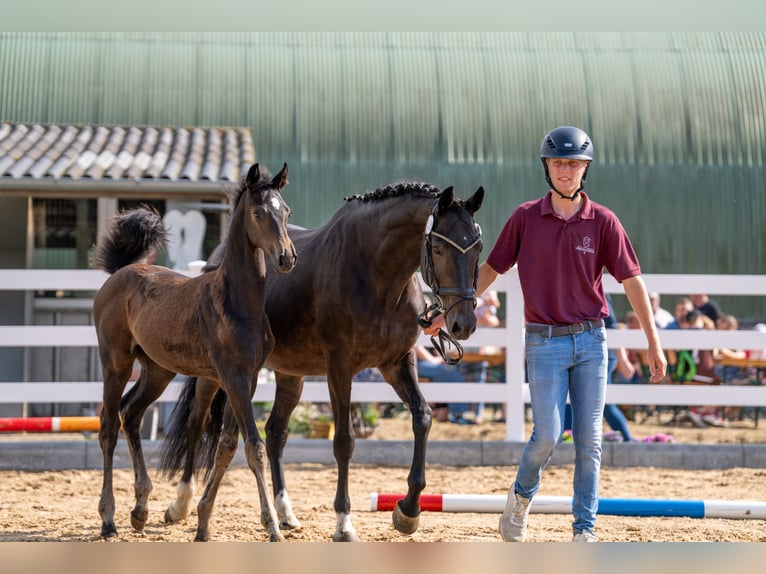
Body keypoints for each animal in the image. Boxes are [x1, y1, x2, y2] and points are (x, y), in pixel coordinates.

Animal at [91, 162, 297, 541]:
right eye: (258, 213)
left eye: (286, 211)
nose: (286, 257)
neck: (237, 301)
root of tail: (119, 273)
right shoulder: (232, 378)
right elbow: (254, 447)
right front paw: (273, 526)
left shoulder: (246, 380)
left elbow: (227, 446)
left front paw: (202, 524)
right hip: (115, 363)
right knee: (109, 426)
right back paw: (109, 519)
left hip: (158, 370)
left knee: (131, 414)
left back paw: (140, 509)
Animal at [158, 181, 484, 541]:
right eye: (438, 250)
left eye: (478, 249)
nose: (463, 323)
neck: (377, 273)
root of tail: (216, 259)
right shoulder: (339, 368)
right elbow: (344, 441)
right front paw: (344, 522)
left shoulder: (397, 363)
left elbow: (422, 418)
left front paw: (408, 510)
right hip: (214, 375)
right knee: (196, 423)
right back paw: (180, 503)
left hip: (290, 373)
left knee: (275, 432)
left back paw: (285, 513)